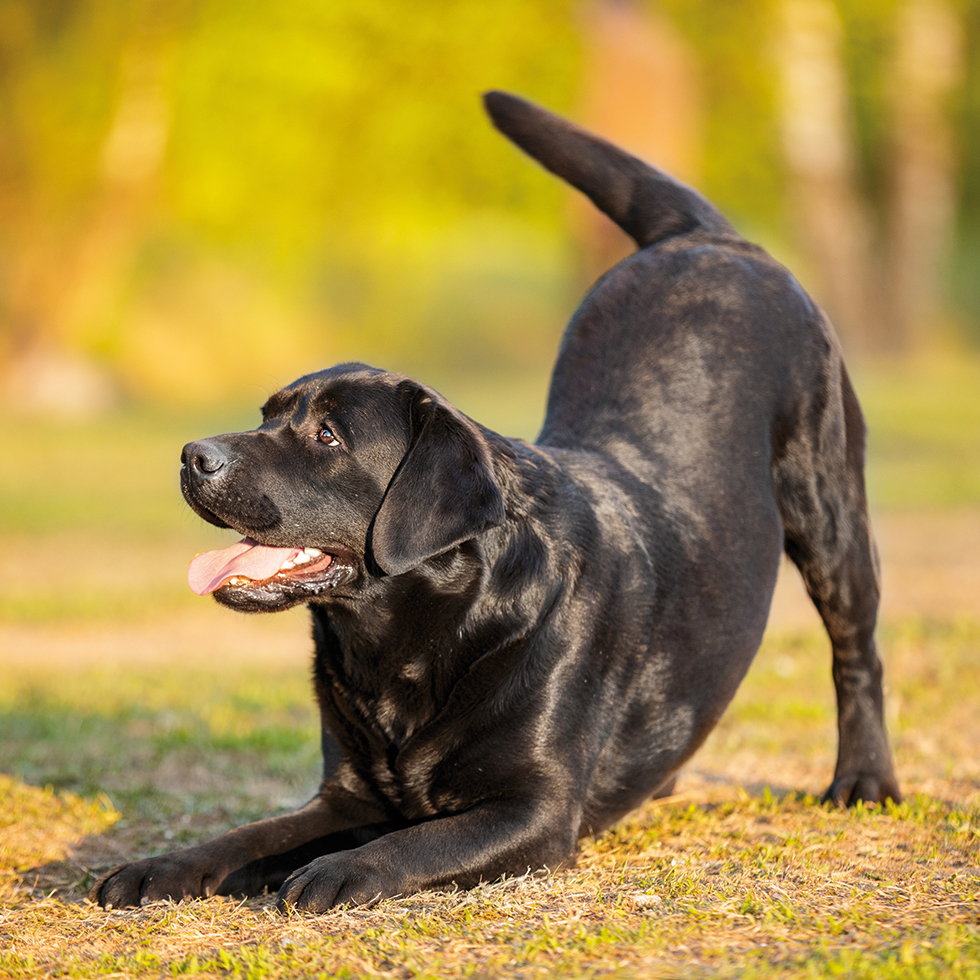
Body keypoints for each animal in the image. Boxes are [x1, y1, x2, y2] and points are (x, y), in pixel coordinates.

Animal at [95, 92, 900, 912]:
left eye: (326, 435)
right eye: (265, 417)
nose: (193, 456)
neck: (410, 642)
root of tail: (707, 236)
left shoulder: (534, 810)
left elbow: (412, 841)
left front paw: (333, 871)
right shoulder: (345, 797)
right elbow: (249, 836)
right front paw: (159, 865)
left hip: (828, 509)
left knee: (856, 652)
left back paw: (864, 782)